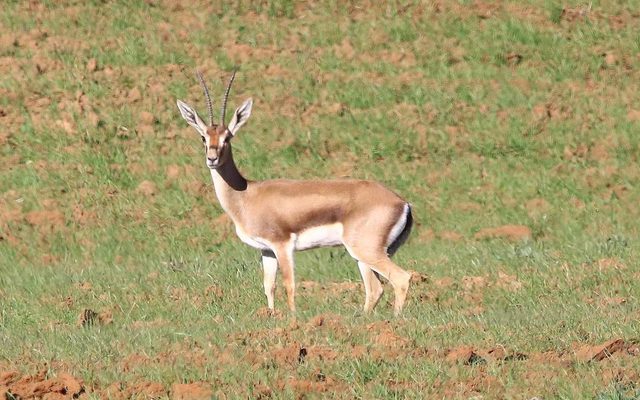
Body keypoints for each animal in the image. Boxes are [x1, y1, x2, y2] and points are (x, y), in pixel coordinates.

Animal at [176, 71, 413, 315]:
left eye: (228, 137)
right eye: (204, 137)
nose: (212, 158)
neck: (246, 195)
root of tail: (402, 203)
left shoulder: (282, 245)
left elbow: (289, 284)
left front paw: (292, 318)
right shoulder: (267, 251)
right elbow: (268, 285)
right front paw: (271, 316)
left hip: (365, 250)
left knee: (399, 278)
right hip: (366, 255)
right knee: (376, 288)